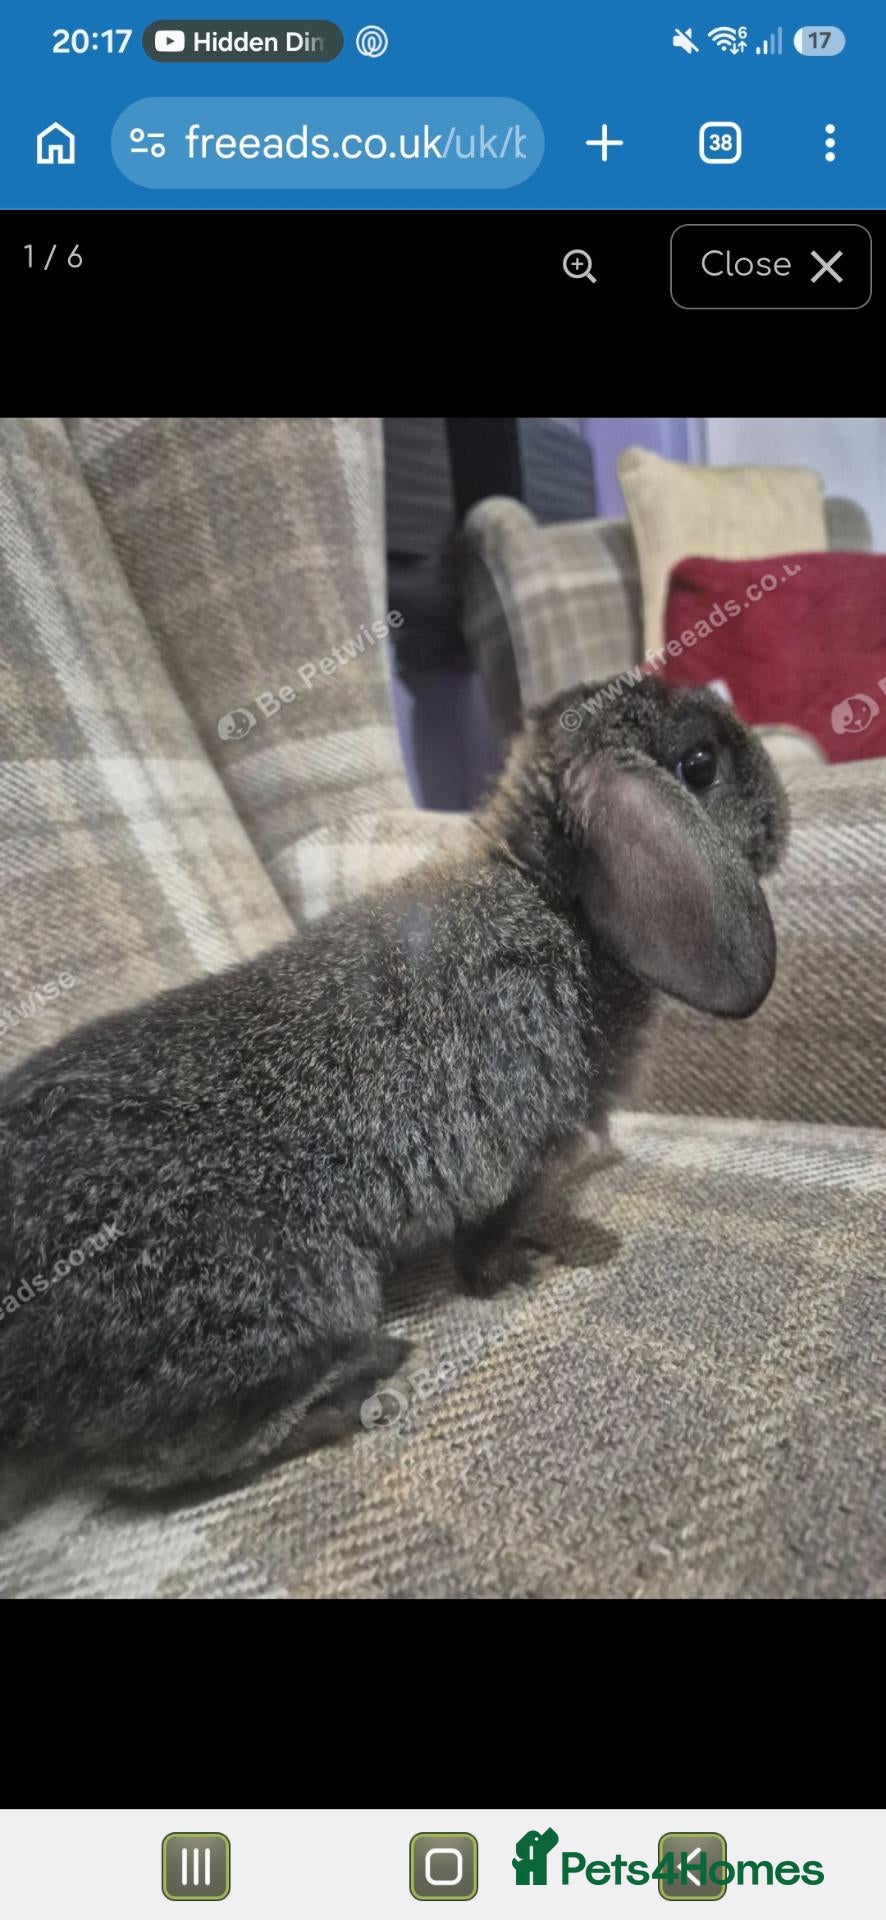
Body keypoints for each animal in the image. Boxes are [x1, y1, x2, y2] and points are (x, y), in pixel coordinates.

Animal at [0, 678, 788, 1492]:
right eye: (699, 765)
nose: (780, 801)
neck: (549, 897)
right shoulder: (517, 1154)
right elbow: (488, 1235)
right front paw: (516, 1270)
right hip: (297, 1288)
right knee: (161, 1463)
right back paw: (353, 1387)